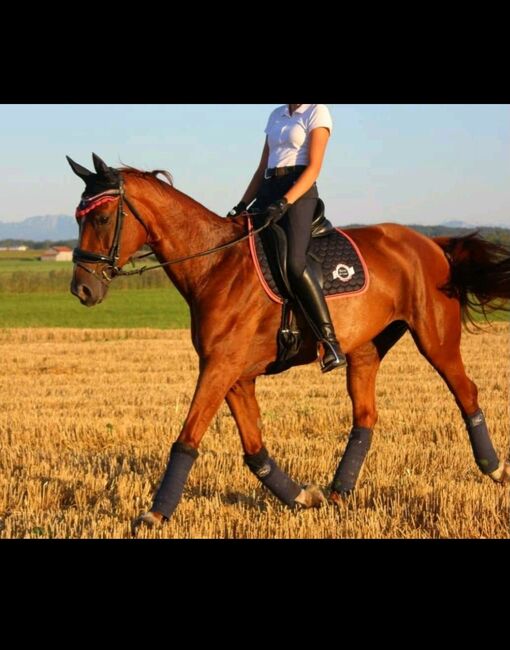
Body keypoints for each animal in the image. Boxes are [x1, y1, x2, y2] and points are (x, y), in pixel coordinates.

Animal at [67, 154, 510, 528]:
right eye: (77, 217)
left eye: (102, 217)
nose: (81, 290)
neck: (214, 264)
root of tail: (432, 243)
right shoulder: (235, 375)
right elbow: (253, 450)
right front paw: (302, 497)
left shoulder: (220, 368)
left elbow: (187, 438)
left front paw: (155, 515)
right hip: (365, 350)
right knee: (365, 417)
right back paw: (337, 494)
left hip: (436, 339)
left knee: (466, 392)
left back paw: (494, 468)